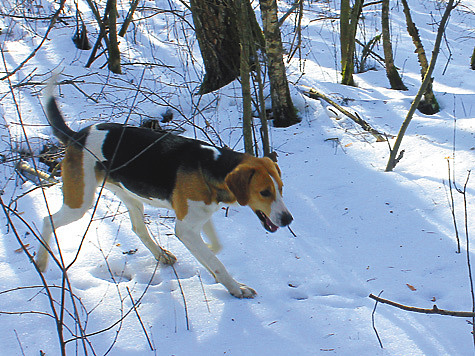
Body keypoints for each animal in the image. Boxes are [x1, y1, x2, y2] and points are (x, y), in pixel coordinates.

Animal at [35, 88, 292, 298]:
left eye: (280, 188)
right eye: (264, 192)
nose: (289, 219)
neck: (213, 166)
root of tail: (77, 136)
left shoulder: (199, 216)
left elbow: (215, 249)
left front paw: (211, 263)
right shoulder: (186, 228)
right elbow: (216, 261)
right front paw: (236, 288)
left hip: (130, 197)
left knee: (138, 228)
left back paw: (161, 255)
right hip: (80, 202)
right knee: (47, 220)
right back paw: (41, 262)